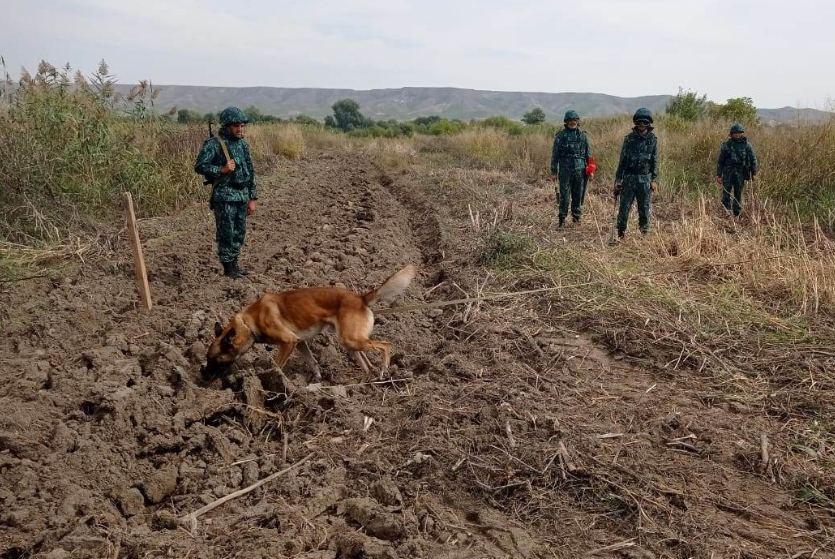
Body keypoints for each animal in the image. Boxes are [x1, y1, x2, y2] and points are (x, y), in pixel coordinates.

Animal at [203, 266, 418, 380]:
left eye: (214, 360)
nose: (202, 378)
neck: (249, 323)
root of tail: (360, 298)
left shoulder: (288, 341)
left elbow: (276, 365)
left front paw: (272, 381)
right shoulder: (299, 343)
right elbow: (312, 362)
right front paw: (315, 382)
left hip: (352, 339)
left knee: (385, 345)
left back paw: (383, 371)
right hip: (349, 342)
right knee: (365, 362)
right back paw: (365, 380)